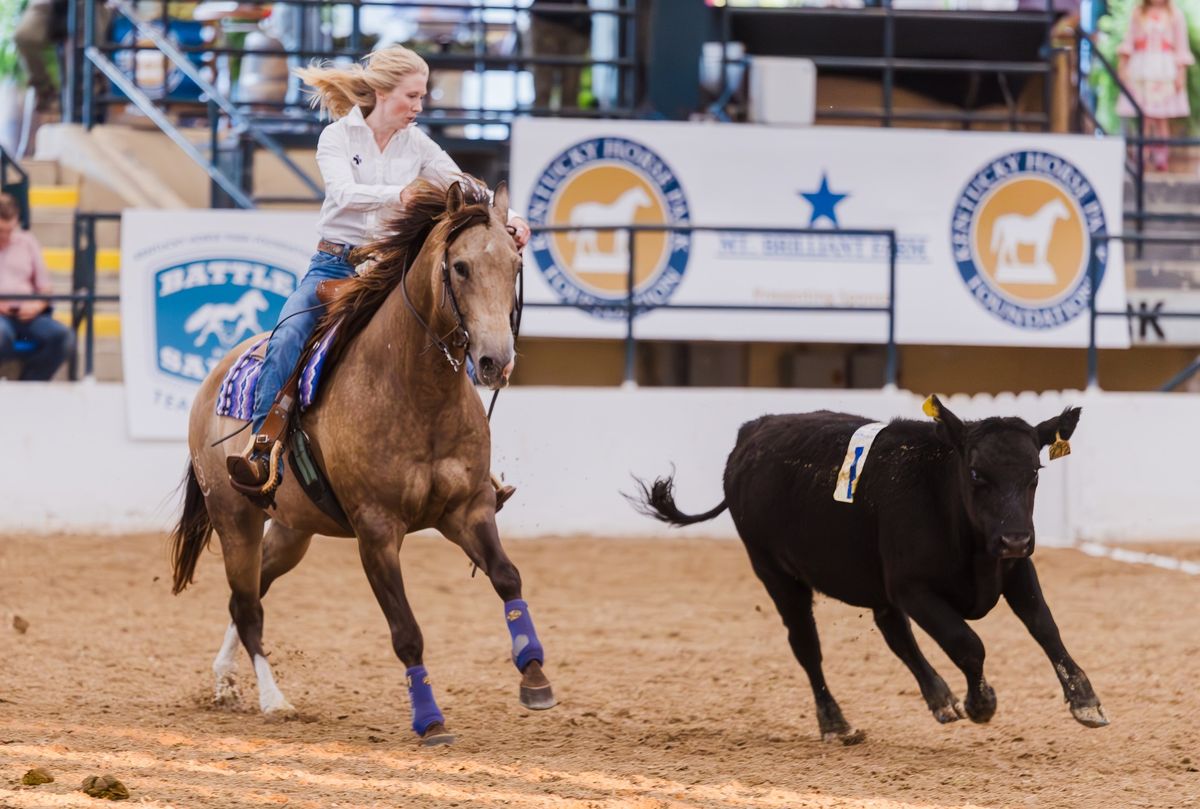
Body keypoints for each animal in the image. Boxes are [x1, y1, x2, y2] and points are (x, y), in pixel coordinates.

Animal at [169, 177, 552, 744]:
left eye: (514, 263)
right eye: (460, 266)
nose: (494, 361)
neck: (415, 391)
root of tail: (216, 376)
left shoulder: (467, 509)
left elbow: (507, 577)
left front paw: (534, 674)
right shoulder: (376, 531)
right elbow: (406, 631)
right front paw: (429, 719)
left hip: (292, 530)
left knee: (252, 592)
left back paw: (224, 682)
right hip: (235, 517)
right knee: (247, 604)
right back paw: (273, 699)